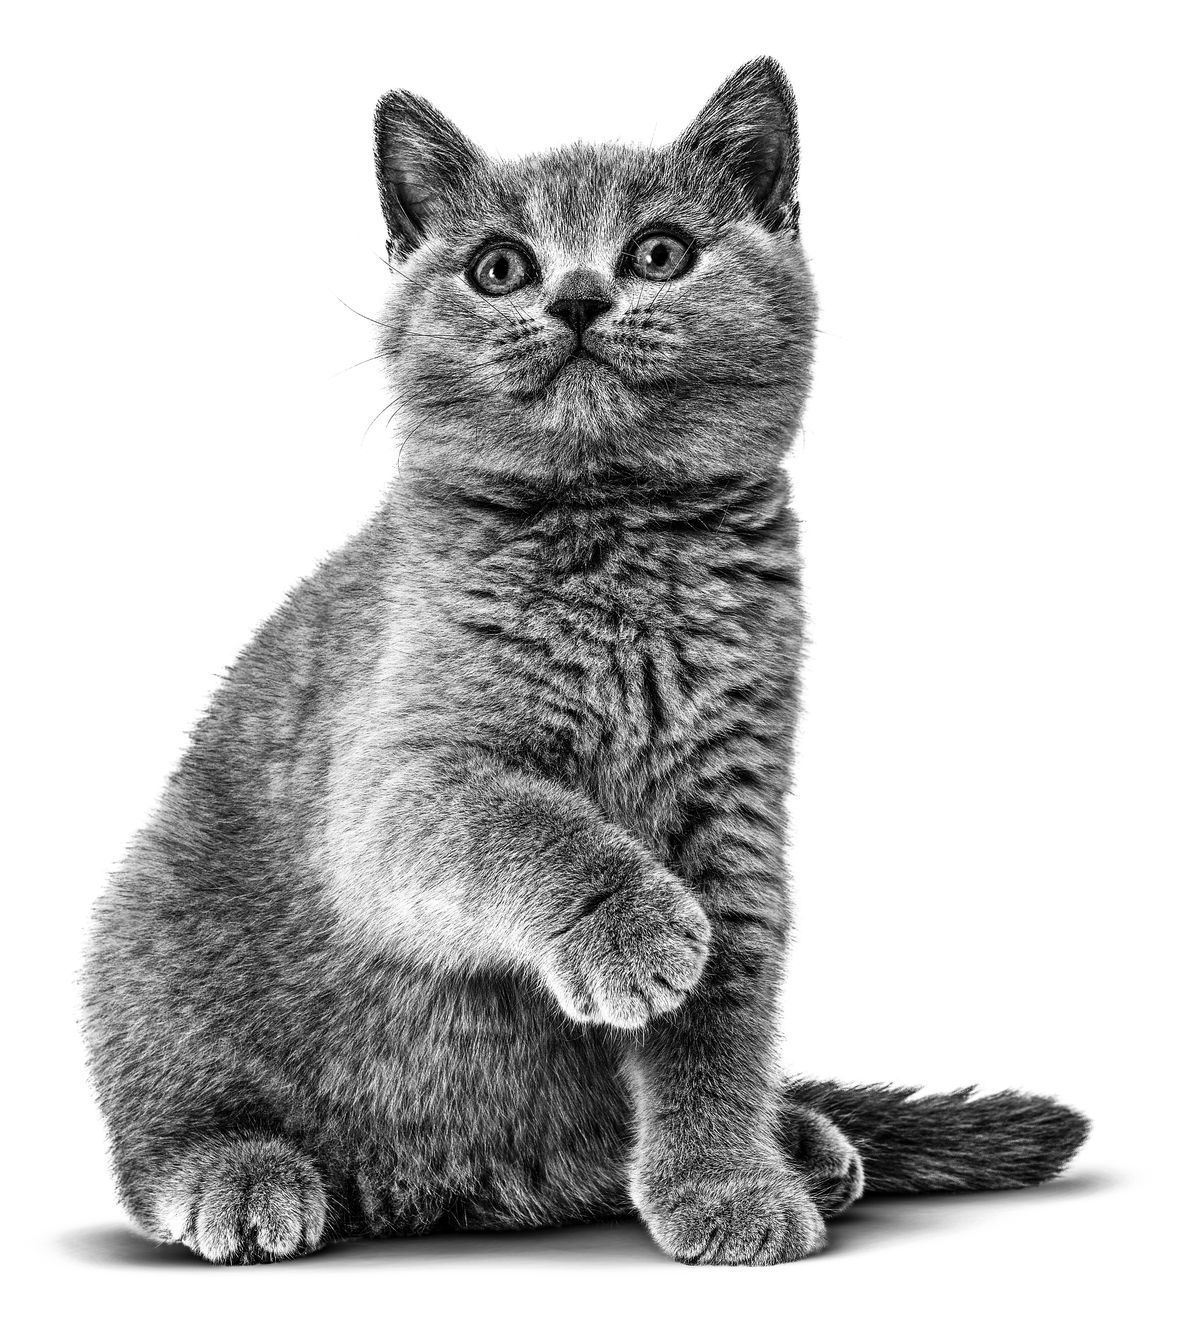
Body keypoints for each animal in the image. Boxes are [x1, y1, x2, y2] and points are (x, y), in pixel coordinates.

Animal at [83, 56, 1087, 1261]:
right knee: (163, 1119)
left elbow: (719, 1026)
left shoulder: (732, 814)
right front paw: (635, 925)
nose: (574, 298)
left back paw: (797, 1141)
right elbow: (529, 823)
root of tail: (442, 1189)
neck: (614, 543)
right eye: (499, 268)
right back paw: (237, 1173)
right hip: (145, 936)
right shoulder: (397, 781)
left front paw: (726, 1183)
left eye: (657, 252)